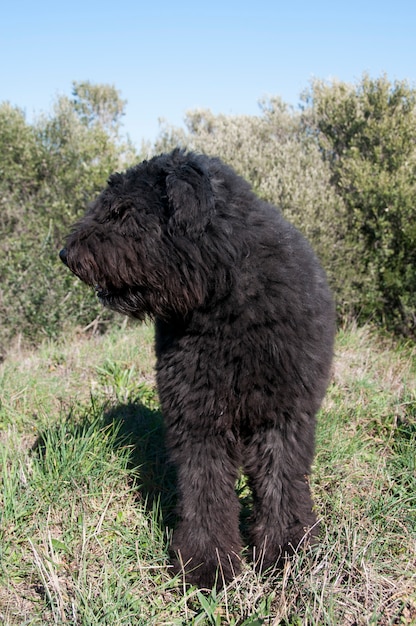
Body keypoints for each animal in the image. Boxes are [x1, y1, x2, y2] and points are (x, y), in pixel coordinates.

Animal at [60, 149, 334, 588]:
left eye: (122, 211)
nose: (66, 254)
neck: (226, 299)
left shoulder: (282, 414)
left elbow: (281, 481)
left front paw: (286, 551)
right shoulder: (197, 416)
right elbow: (205, 489)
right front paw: (208, 564)